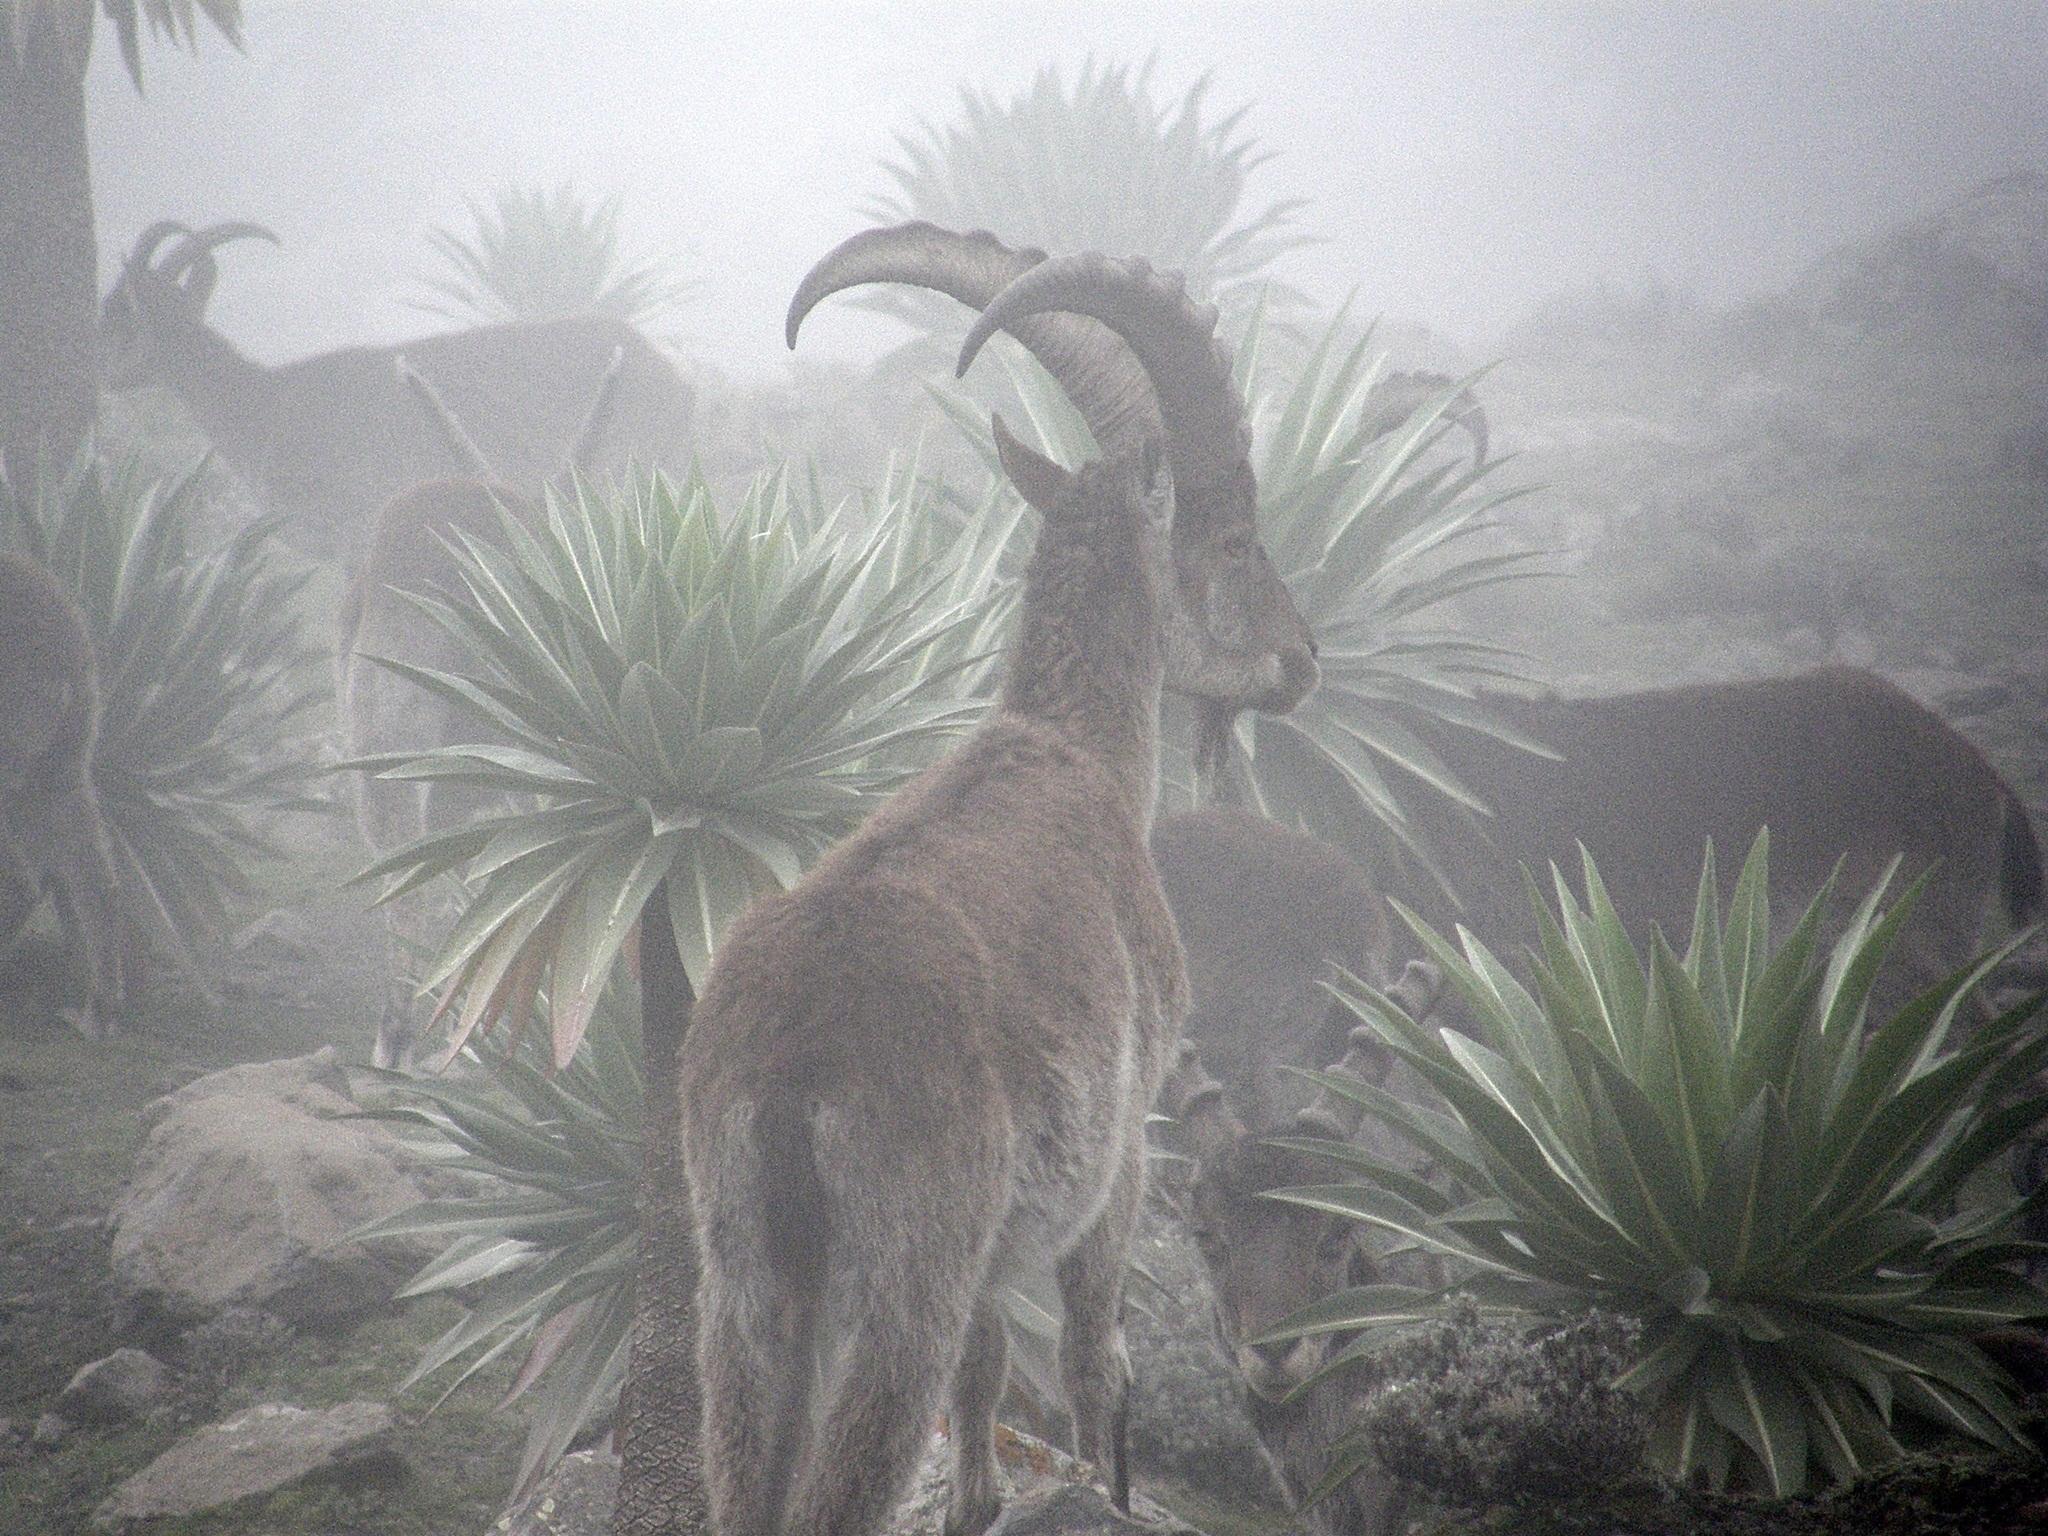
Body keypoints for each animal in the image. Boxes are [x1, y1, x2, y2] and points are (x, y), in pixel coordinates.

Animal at [675, 224, 1319, 1536]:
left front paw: (977, 1497)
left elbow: (983, 1389)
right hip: (897, 1282)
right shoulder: (1122, 1152)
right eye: (1232, 541)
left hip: (744, 1294)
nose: (1301, 658)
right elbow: (1092, 1361)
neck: (1069, 749)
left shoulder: (984, 1260)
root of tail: (784, 1062)